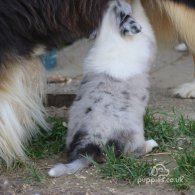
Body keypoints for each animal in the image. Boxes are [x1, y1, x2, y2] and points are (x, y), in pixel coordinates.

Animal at [49, 0, 158, 177]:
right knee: (132, 152)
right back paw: (151, 144)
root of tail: (90, 142)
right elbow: (144, 22)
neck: (111, 34)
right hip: (133, 134)